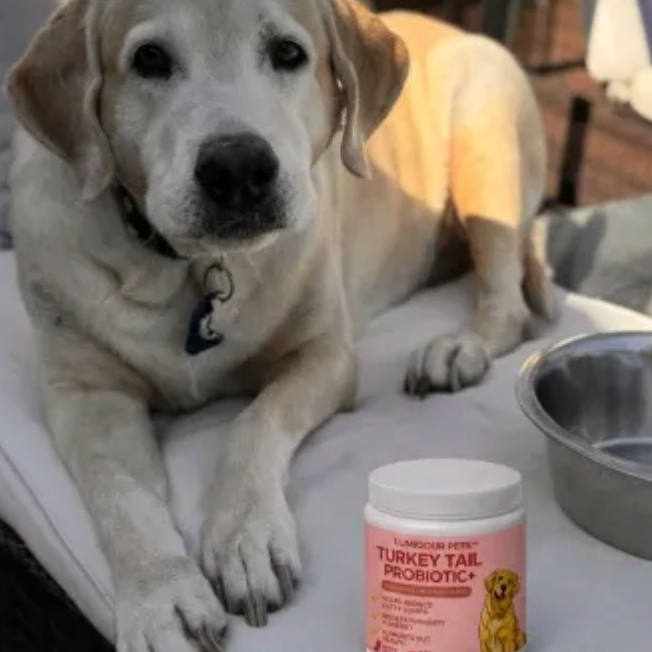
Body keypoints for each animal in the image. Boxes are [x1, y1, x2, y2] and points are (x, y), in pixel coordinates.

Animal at [6, 0, 556, 650]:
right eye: (149, 59)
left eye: (289, 53)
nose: (238, 167)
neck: (194, 267)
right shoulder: (85, 394)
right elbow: (122, 493)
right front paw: (162, 594)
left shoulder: (324, 356)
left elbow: (254, 423)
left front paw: (247, 540)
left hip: (485, 149)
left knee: (509, 305)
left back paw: (455, 349)